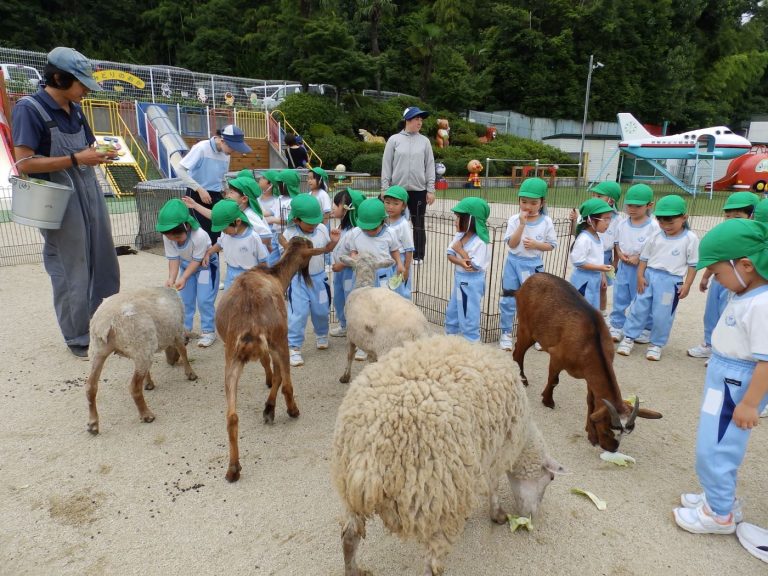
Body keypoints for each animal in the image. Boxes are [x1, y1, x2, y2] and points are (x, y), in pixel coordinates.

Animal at [85, 286, 198, 434]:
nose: (172, 362)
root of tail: (107, 322)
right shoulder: (176, 333)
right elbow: (183, 352)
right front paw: (191, 374)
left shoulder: (148, 350)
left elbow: (148, 371)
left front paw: (149, 383)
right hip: (140, 345)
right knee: (134, 387)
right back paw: (146, 415)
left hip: (98, 351)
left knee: (90, 387)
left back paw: (93, 424)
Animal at [214, 234, 326, 482]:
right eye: (310, 248)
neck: (275, 276)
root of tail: (251, 326)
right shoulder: (276, 344)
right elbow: (278, 378)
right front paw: (269, 409)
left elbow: (268, 368)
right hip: (279, 338)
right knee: (286, 383)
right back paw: (292, 410)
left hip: (231, 355)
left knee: (231, 416)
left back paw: (233, 468)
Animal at [330, 336, 564, 572]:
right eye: (551, 478)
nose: (532, 518)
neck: (524, 438)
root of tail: (368, 456)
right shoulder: (495, 453)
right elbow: (493, 486)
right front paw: (497, 514)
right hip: (436, 499)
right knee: (431, 565)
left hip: (349, 492)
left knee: (349, 536)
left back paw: (354, 570)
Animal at [338, 252, 432, 382]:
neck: (364, 285)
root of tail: (419, 333)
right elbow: (370, 360)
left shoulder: (351, 335)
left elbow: (350, 355)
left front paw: (345, 377)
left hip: (389, 350)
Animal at [510, 272, 660, 452]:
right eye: (607, 429)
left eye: (625, 434)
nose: (612, 448)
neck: (590, 344)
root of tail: (526, 283)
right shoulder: (557, 357)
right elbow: (554, 380)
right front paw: (547, 401)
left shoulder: (590, 374)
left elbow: (591, 401)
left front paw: (590, 434)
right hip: (526, 327)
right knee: (518, 353)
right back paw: (522, 379)